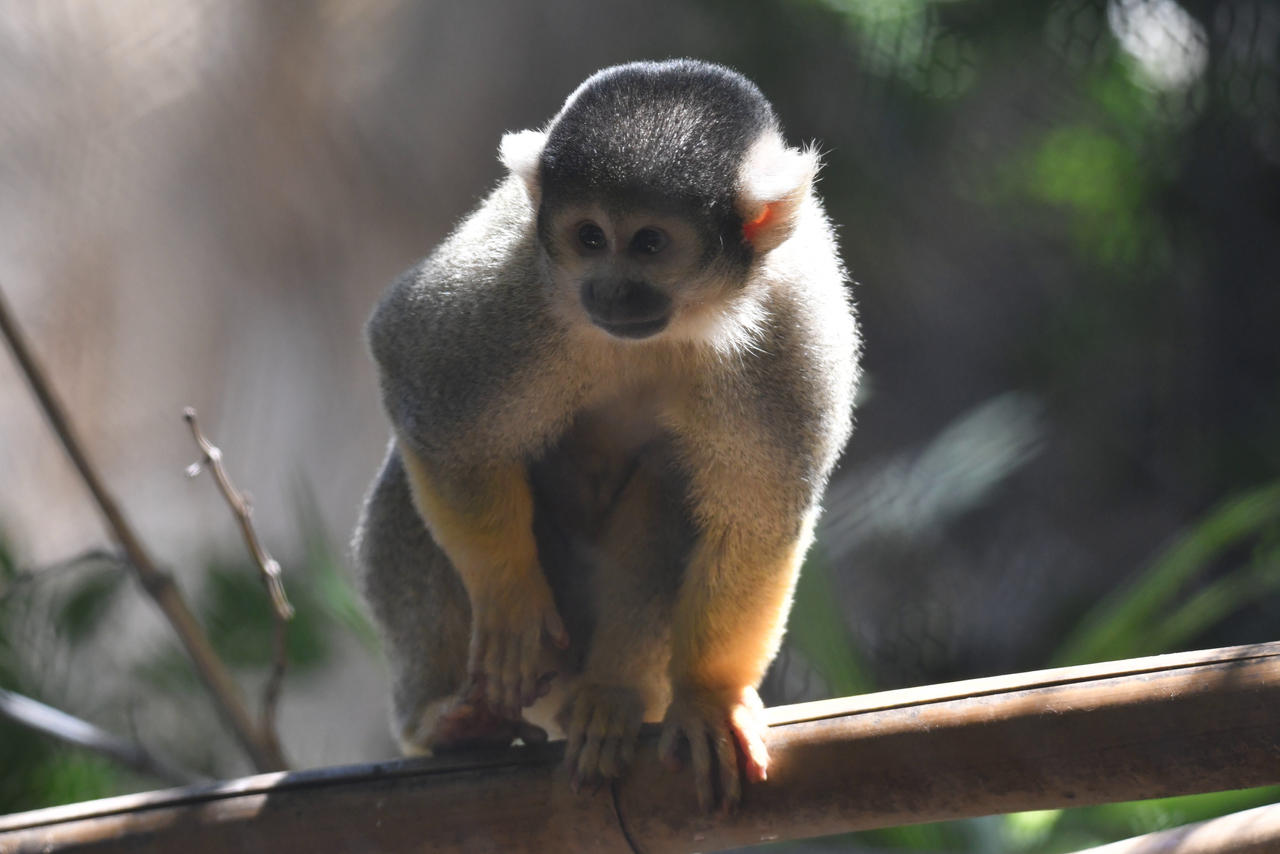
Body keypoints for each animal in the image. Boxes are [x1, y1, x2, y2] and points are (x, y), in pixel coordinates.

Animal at [354, 59, 859, 810]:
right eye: (590, 237)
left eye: (649, 243)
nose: (612, 292)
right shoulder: (516, 277)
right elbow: (426, 394)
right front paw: (511, 600)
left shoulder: (791, 321)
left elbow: (758, 520)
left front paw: (708, 696)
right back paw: (442, 721)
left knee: (674, 484)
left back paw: (612, 694)